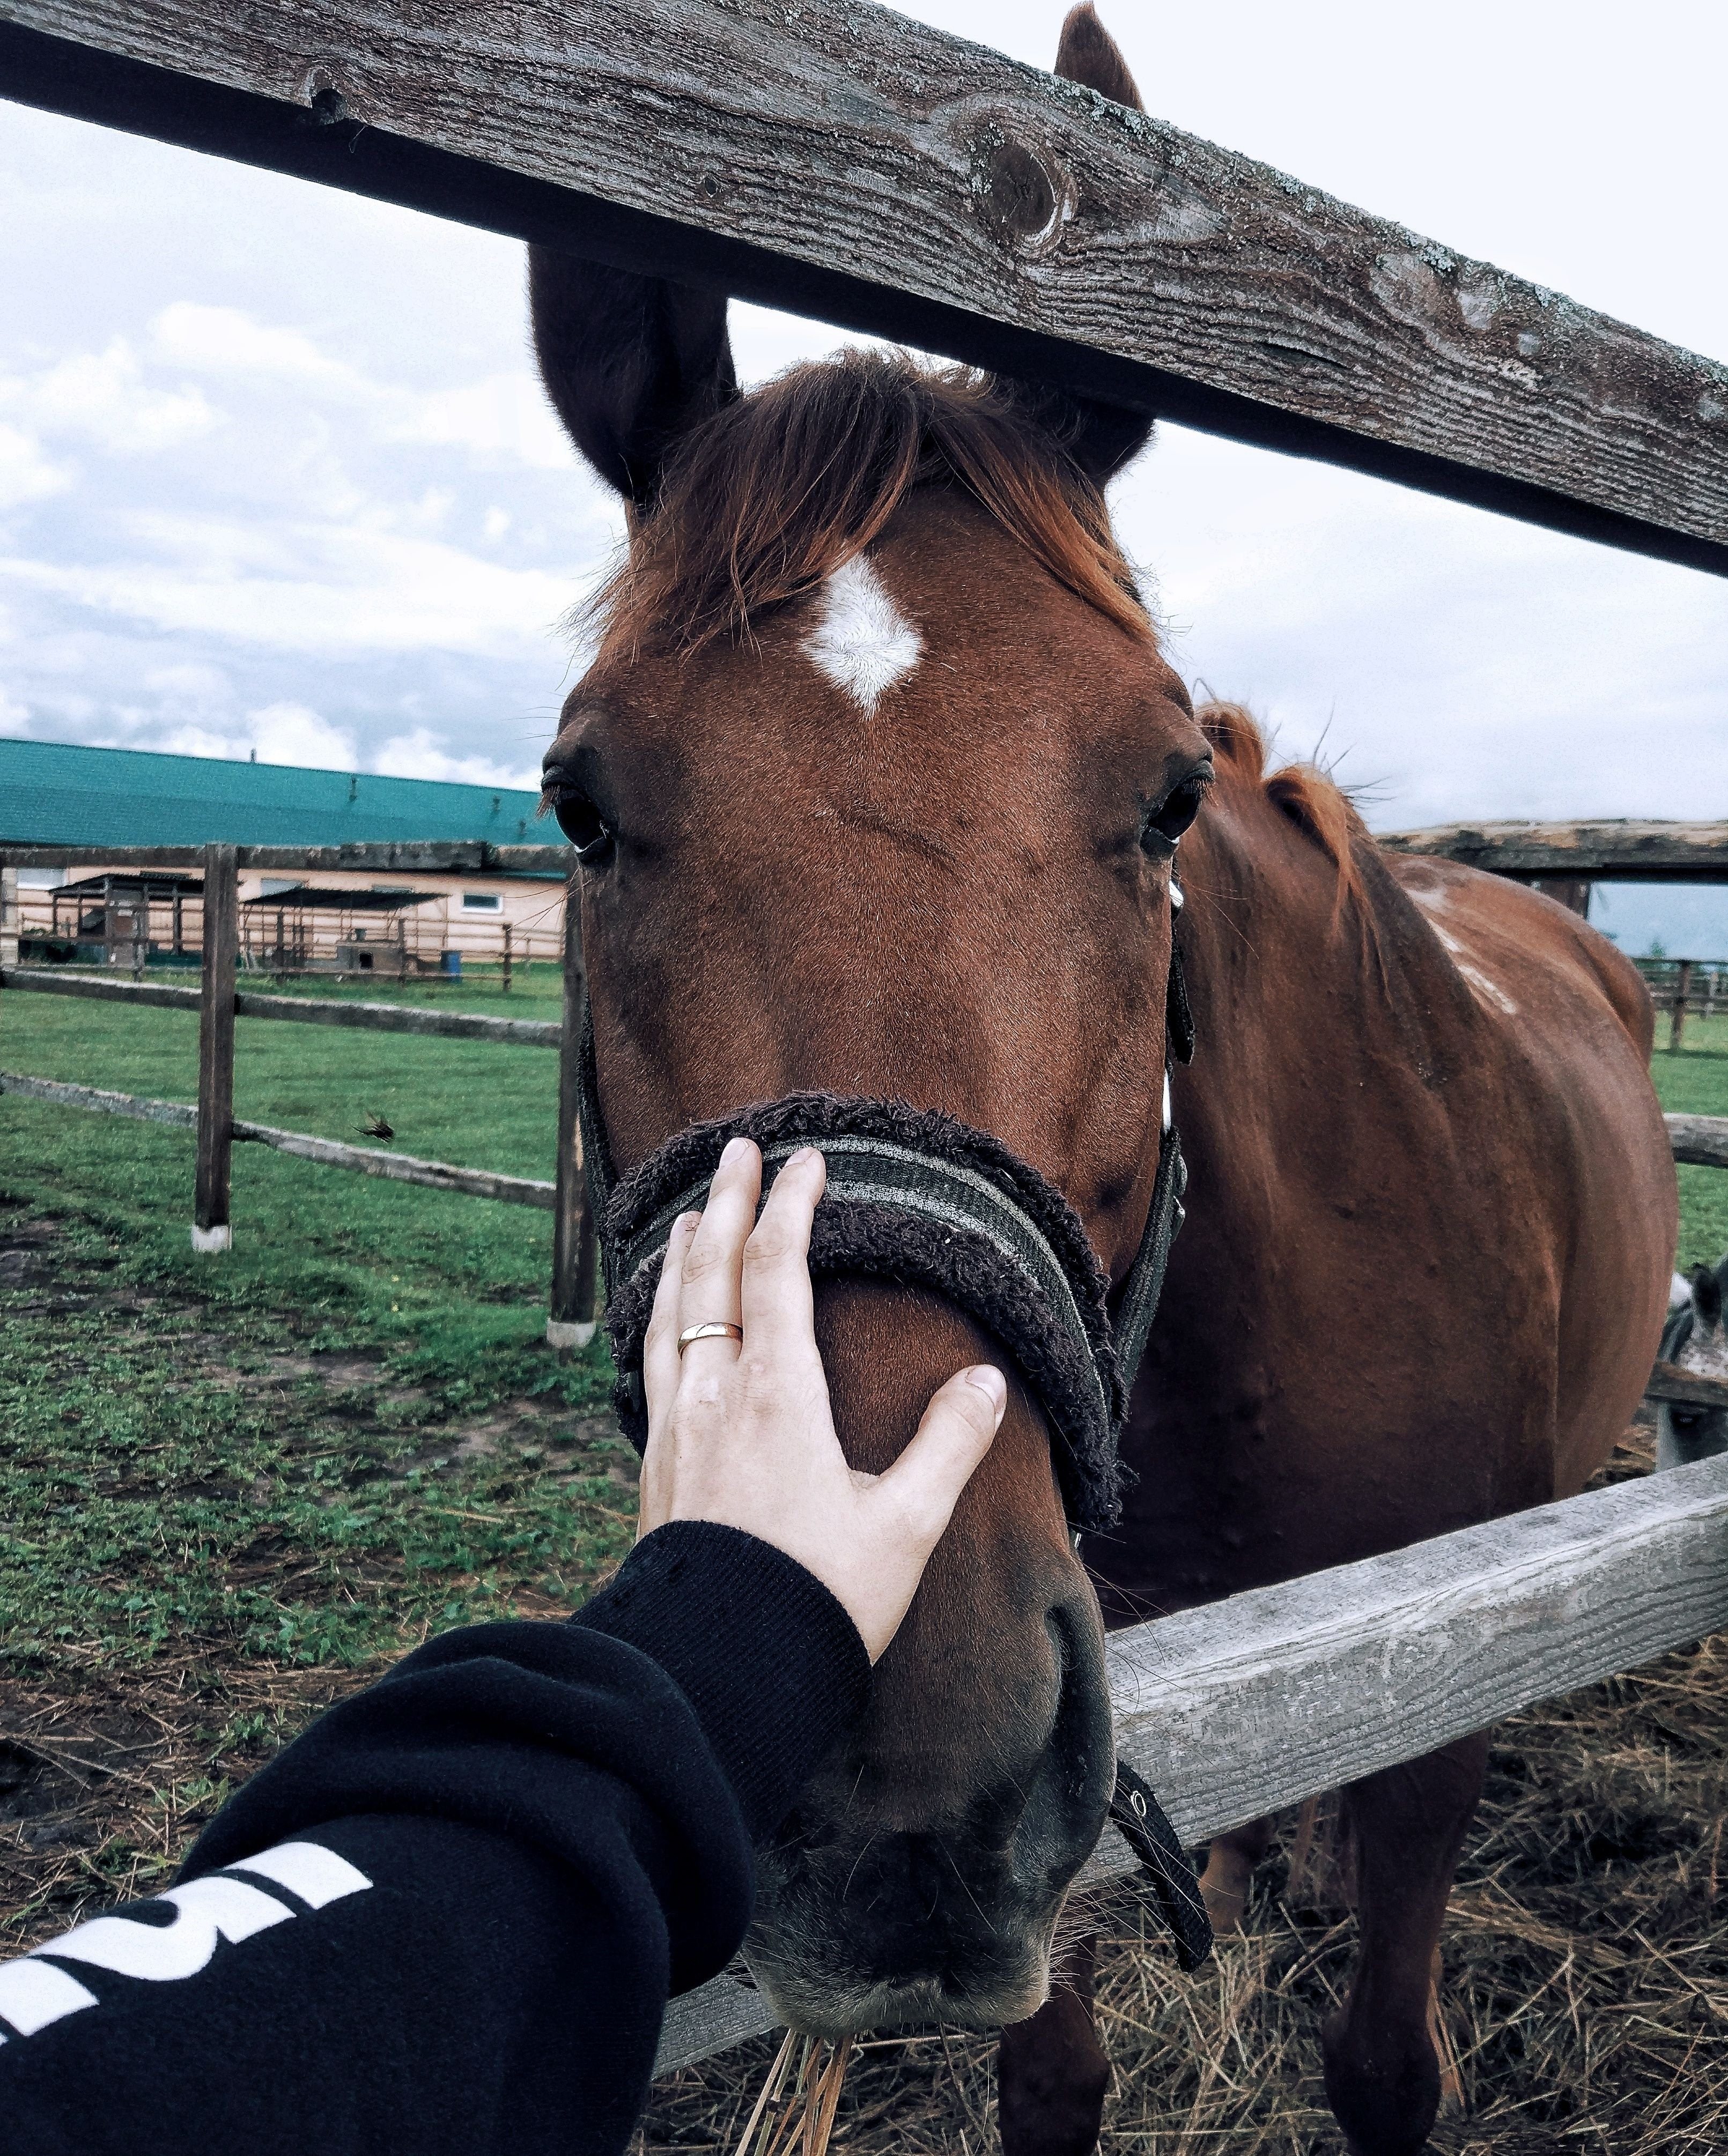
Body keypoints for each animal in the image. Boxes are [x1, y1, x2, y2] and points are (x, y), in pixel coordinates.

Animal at [526, 12, 1674, 2138]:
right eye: (579, 804)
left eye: (1164, 792)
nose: (897, 1764)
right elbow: (1051, 2073)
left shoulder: (1443, 1681)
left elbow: (1383, 2058)